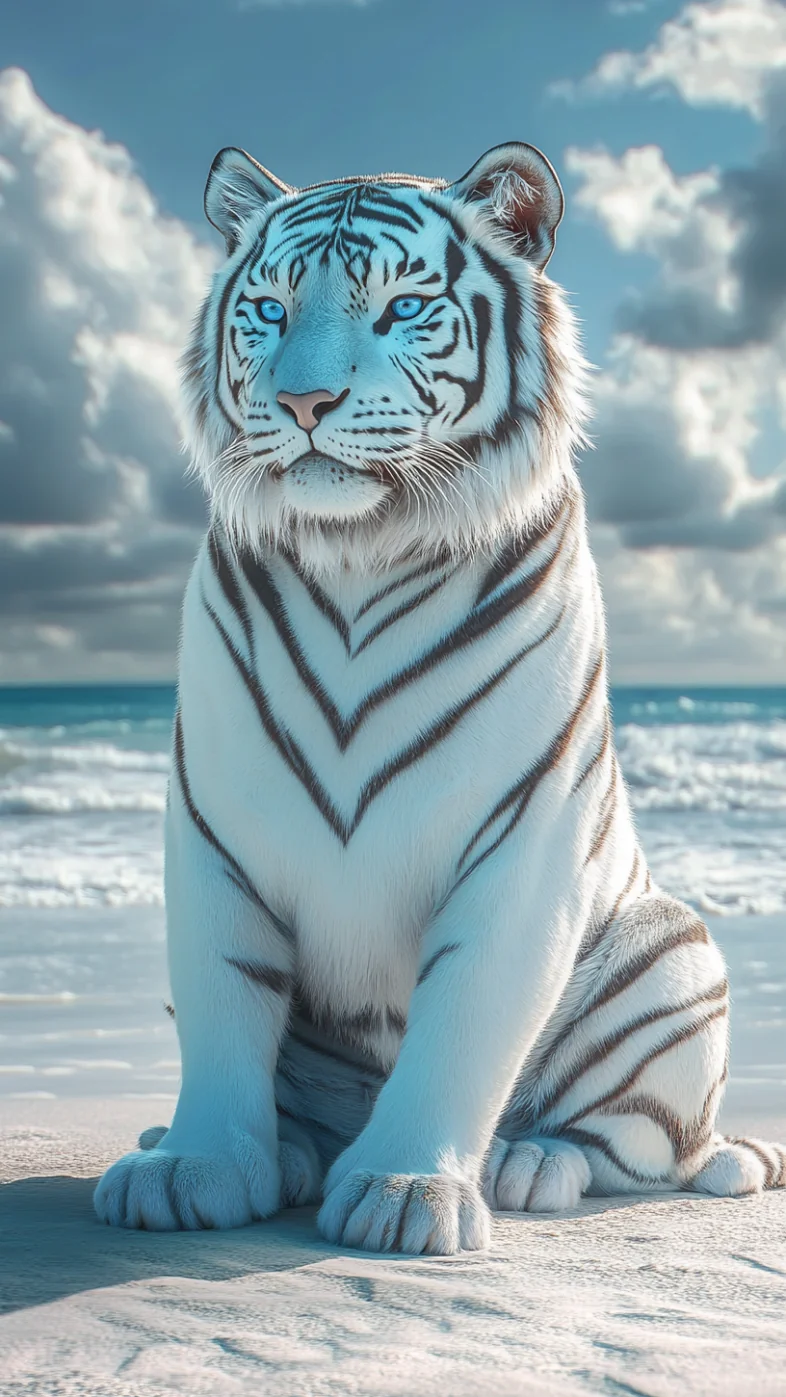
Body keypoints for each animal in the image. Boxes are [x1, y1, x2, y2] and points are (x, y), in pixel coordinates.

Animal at [94, 141, 786, 1253]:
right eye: (271, 309)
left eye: (403, 308)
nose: (304, 403)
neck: (358, 552)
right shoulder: (212, 822)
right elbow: (222, 995)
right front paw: (195, 1164)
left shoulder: (525, 833)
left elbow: (468, 1016)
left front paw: (409, 1186)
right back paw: (277, 1149)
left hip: (672, 956)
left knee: (631, 1146)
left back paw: (526, 1162)